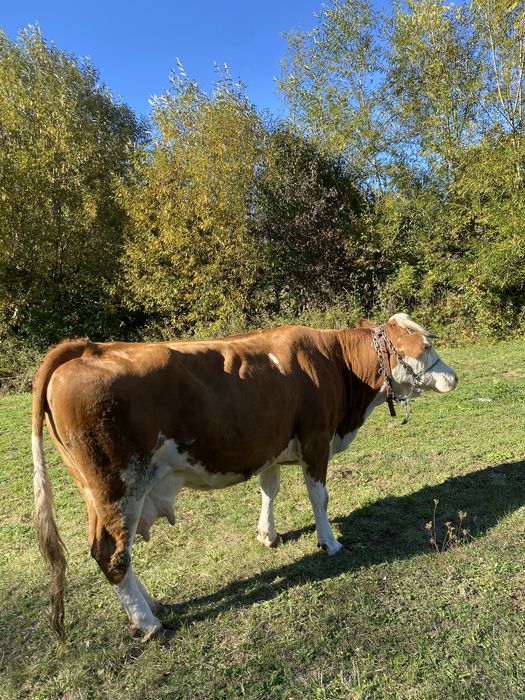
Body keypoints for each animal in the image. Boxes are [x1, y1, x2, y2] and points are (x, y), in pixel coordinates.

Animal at [32, 313, 458, 642]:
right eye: (426, 347)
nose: (453, 377)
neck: (336, 363)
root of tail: (88, 347)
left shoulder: (271, 442)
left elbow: (269, 489)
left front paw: (267, 534)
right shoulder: (316, 437)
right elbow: (319, 497)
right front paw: (330, 543)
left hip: (96, 494)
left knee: (113, 551)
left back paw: (152, 604)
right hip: (119, 486)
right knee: (112, 553)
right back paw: (149, 624)